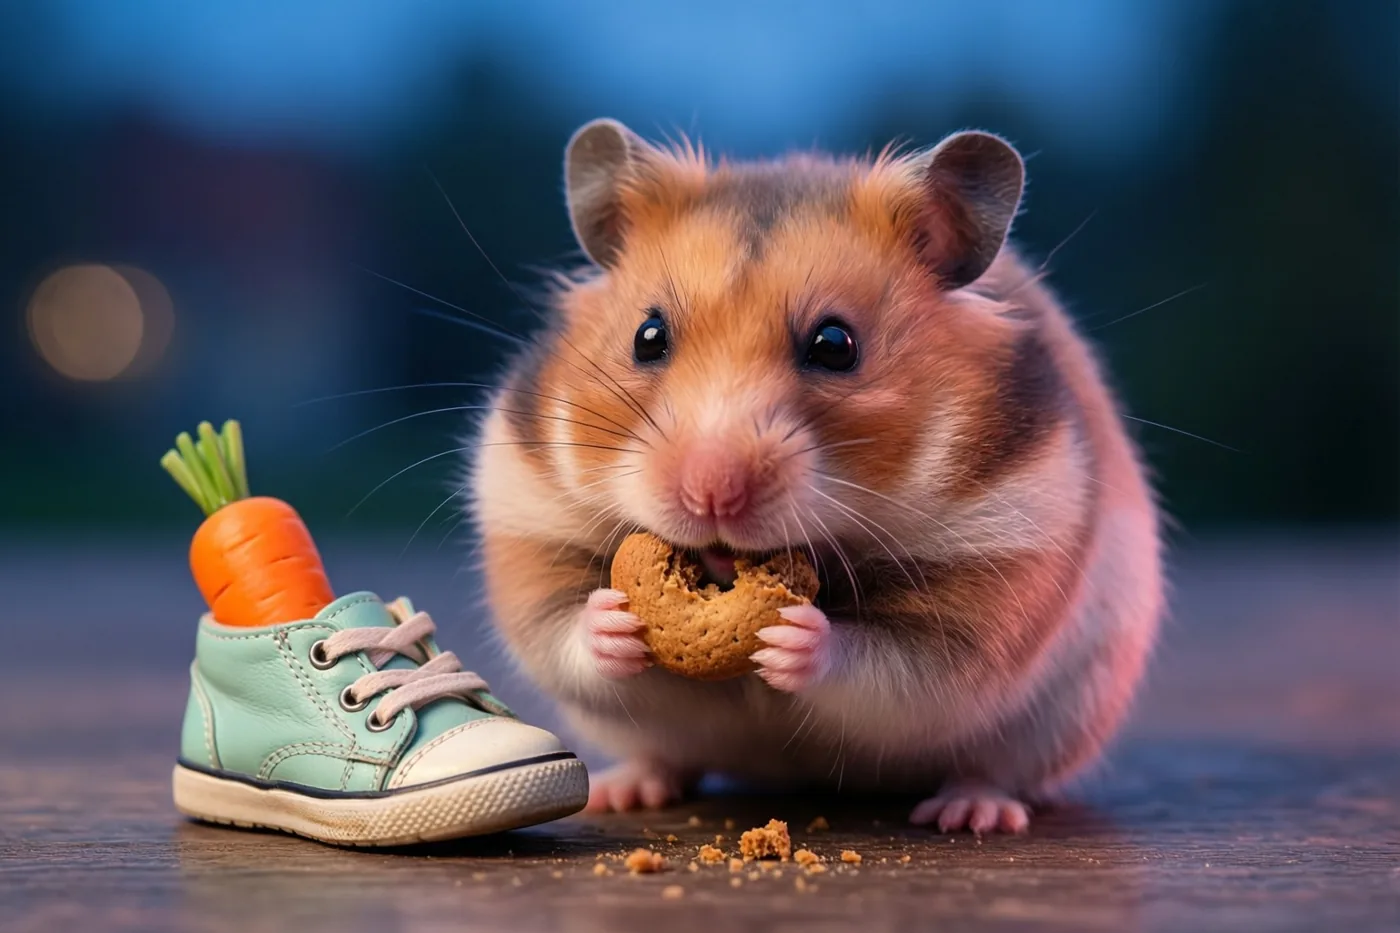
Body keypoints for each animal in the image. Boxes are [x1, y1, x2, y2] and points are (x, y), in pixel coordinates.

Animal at [466, 117, 1163, 834]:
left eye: (836, 345)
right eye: (647, 336)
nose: (709, 493)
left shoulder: (998, 565)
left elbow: (892, 668)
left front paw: (793, 638)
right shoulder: (528, 519)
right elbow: (562, 633)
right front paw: (614, 619)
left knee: (994, 771)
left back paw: (970, 812)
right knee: (662, 755)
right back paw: (624, 789)